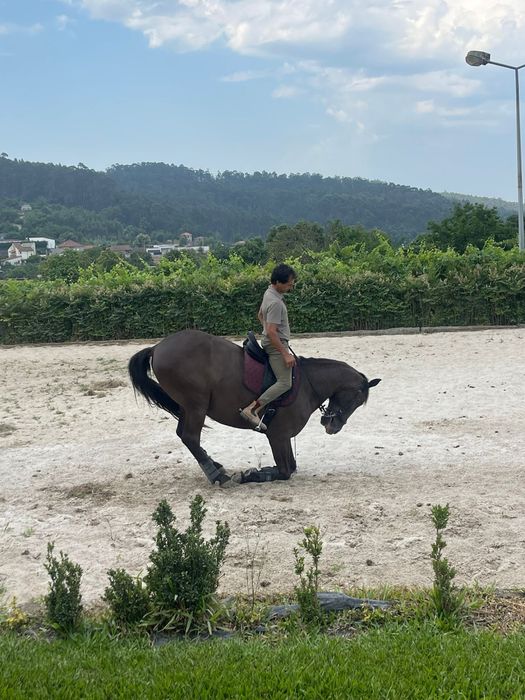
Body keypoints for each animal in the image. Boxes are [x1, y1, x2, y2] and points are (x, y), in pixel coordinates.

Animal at [128, 330, 381, 486]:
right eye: (356, 399)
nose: (332, 426)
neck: (307, 384)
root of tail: (158, 347)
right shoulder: (277, 435)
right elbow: (285, 471)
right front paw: (252, 474)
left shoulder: (283, 437)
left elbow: (291, 467)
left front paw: (259, 470)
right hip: (195, 405)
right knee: (190, 437)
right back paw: (218, 475)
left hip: (187, 407)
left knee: (185, 436)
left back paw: (215, 466)